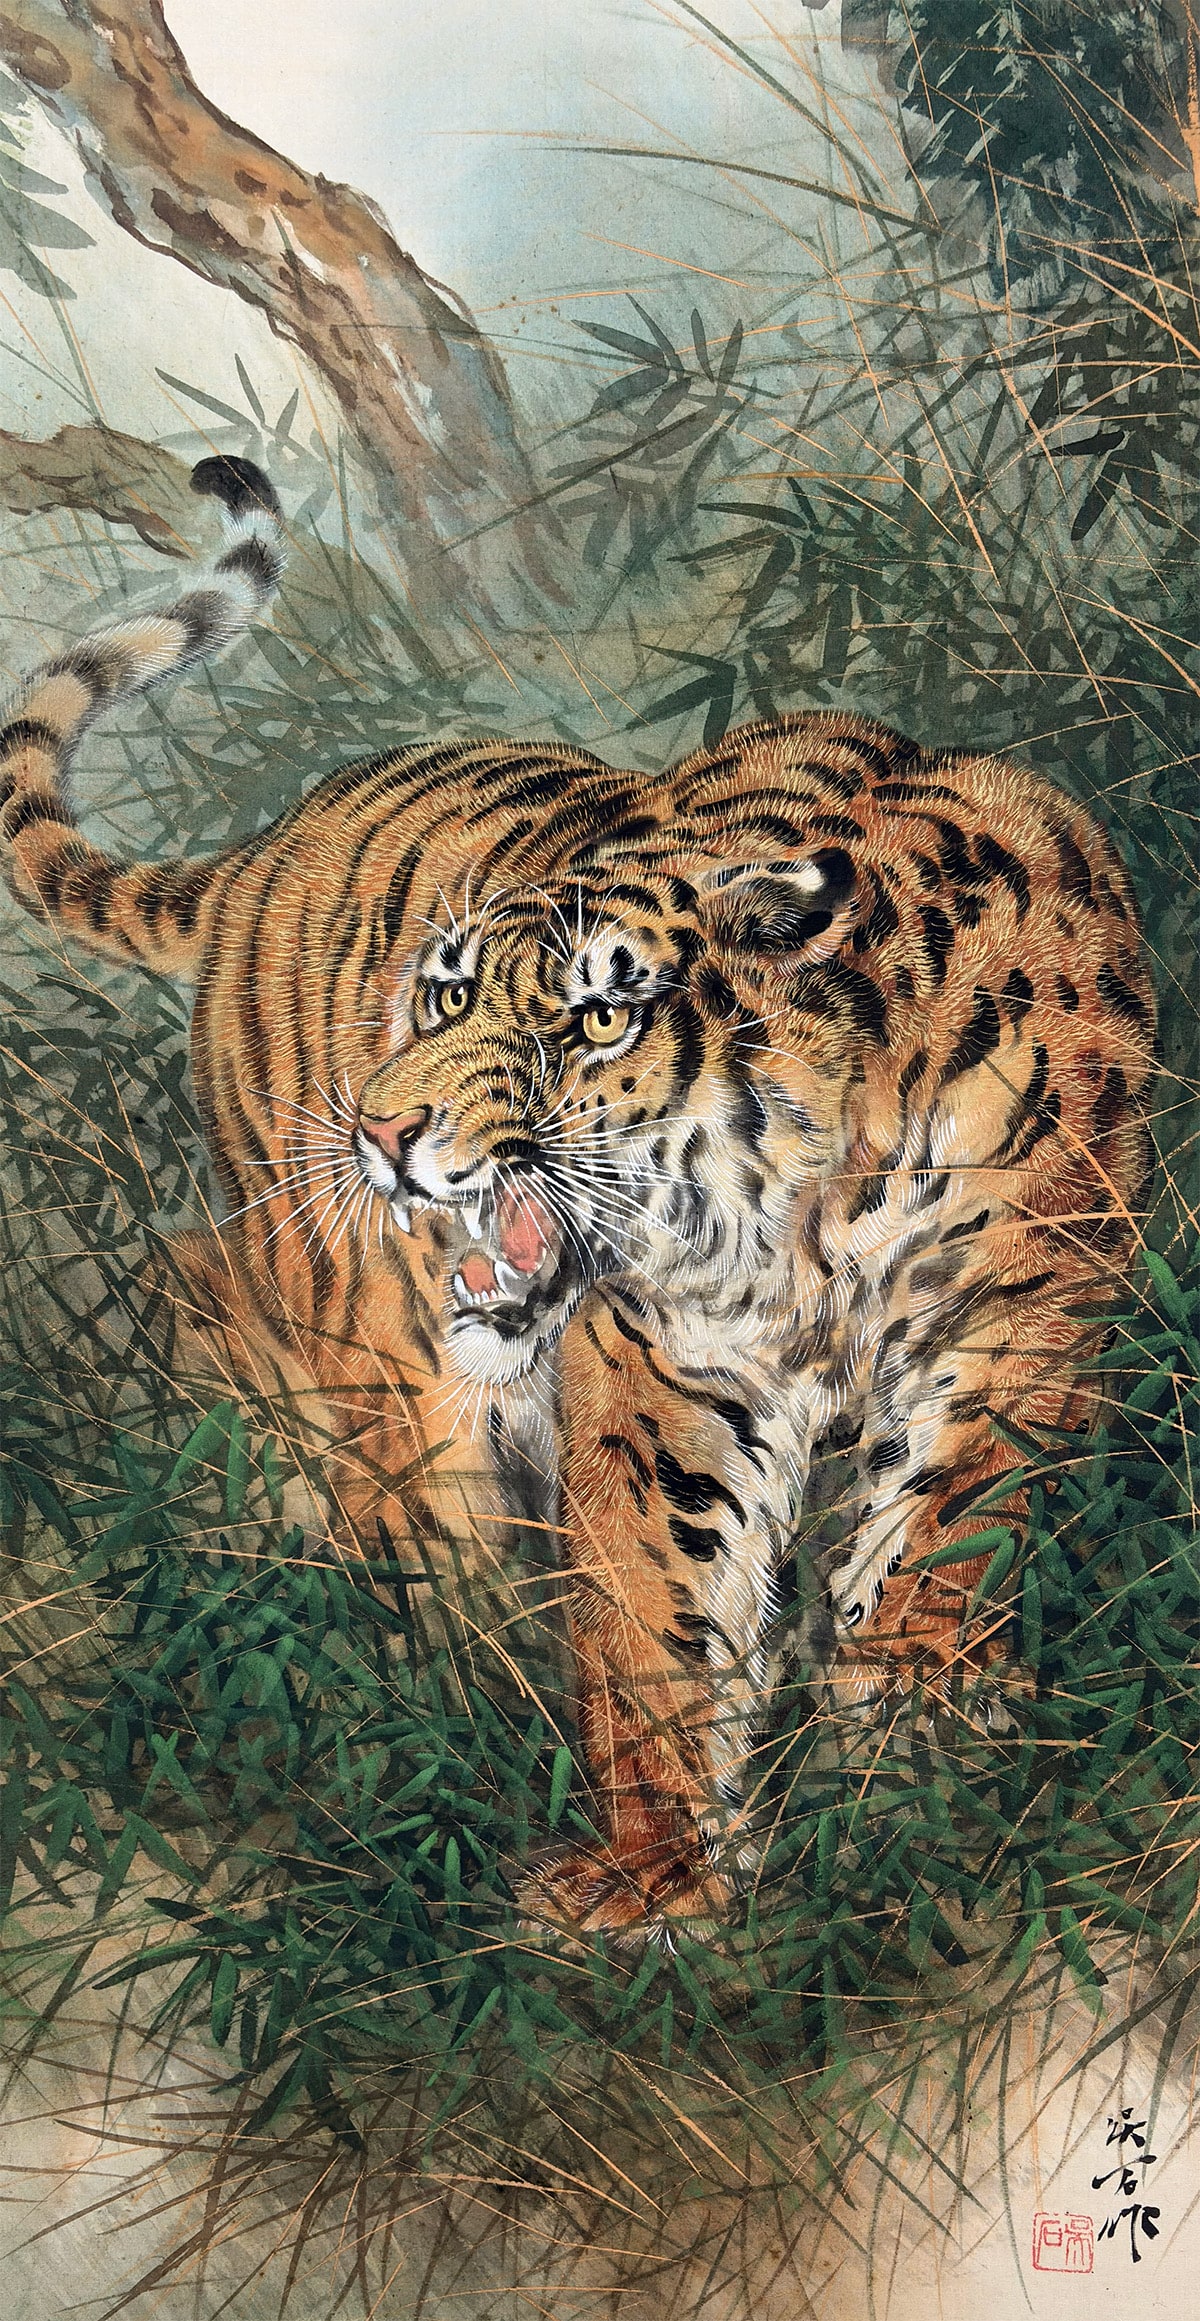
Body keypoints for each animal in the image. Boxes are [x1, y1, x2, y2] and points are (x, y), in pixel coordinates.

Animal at [0, 456, 1157, 1940]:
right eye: (444, 996)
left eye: (595, 1019)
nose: (382, 1128)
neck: (823, 1194)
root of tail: (266, 848)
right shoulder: (667, 1362)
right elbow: (653, 1605)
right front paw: (658, 1881)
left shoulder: (1025, 1307)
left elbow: (951, 1521)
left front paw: (917, 1737)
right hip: (353, 1316)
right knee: (286, 1379)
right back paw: (438, 1698)